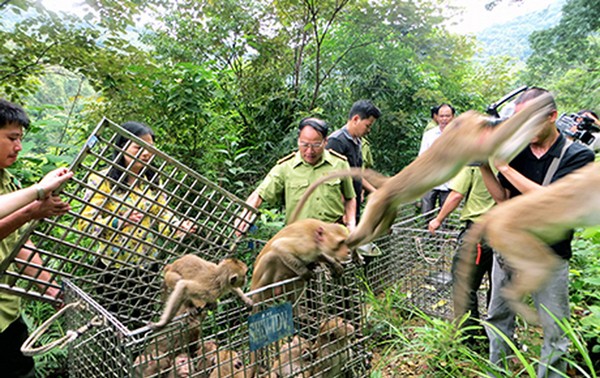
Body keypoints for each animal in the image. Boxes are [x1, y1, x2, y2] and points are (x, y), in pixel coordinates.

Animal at [288, 94, 556, 248]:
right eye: (482, 120)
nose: (490, 120)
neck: (458, 131)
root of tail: (389, 183)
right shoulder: (467, 142)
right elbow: (496, 145)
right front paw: (539, 107)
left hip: (387, 202)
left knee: (385, 220)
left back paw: (370, 238)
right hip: (380, 200)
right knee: (366, 226)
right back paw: (347, 241)